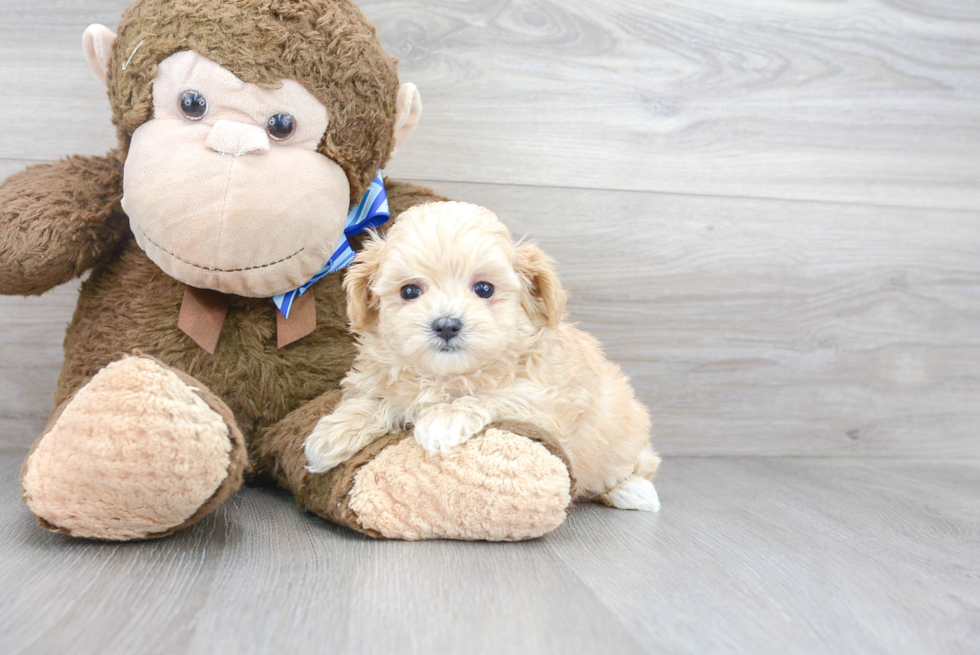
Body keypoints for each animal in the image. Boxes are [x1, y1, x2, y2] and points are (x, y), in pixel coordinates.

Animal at [302, 202, 664, 510]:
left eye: (484, 289)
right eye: (410, 291)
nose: (446, 325)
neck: (445, 375)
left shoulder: (547, 404)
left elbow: (493, 395)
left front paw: (443, 420)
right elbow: (374, 399)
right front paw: (332, 433)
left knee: (640, 466)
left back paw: (633, 491)